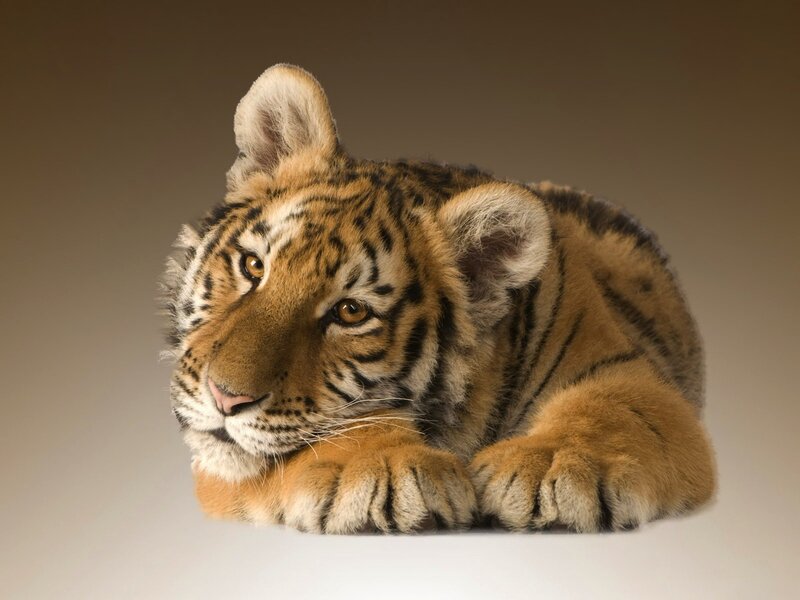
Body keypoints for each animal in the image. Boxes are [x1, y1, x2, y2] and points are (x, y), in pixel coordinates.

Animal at [163, 64, 716, 534]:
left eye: (351, 311)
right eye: (253, 267)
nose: (225, 398)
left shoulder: (632, 376)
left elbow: (614, 411)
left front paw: (551, 465)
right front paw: (388, 467)